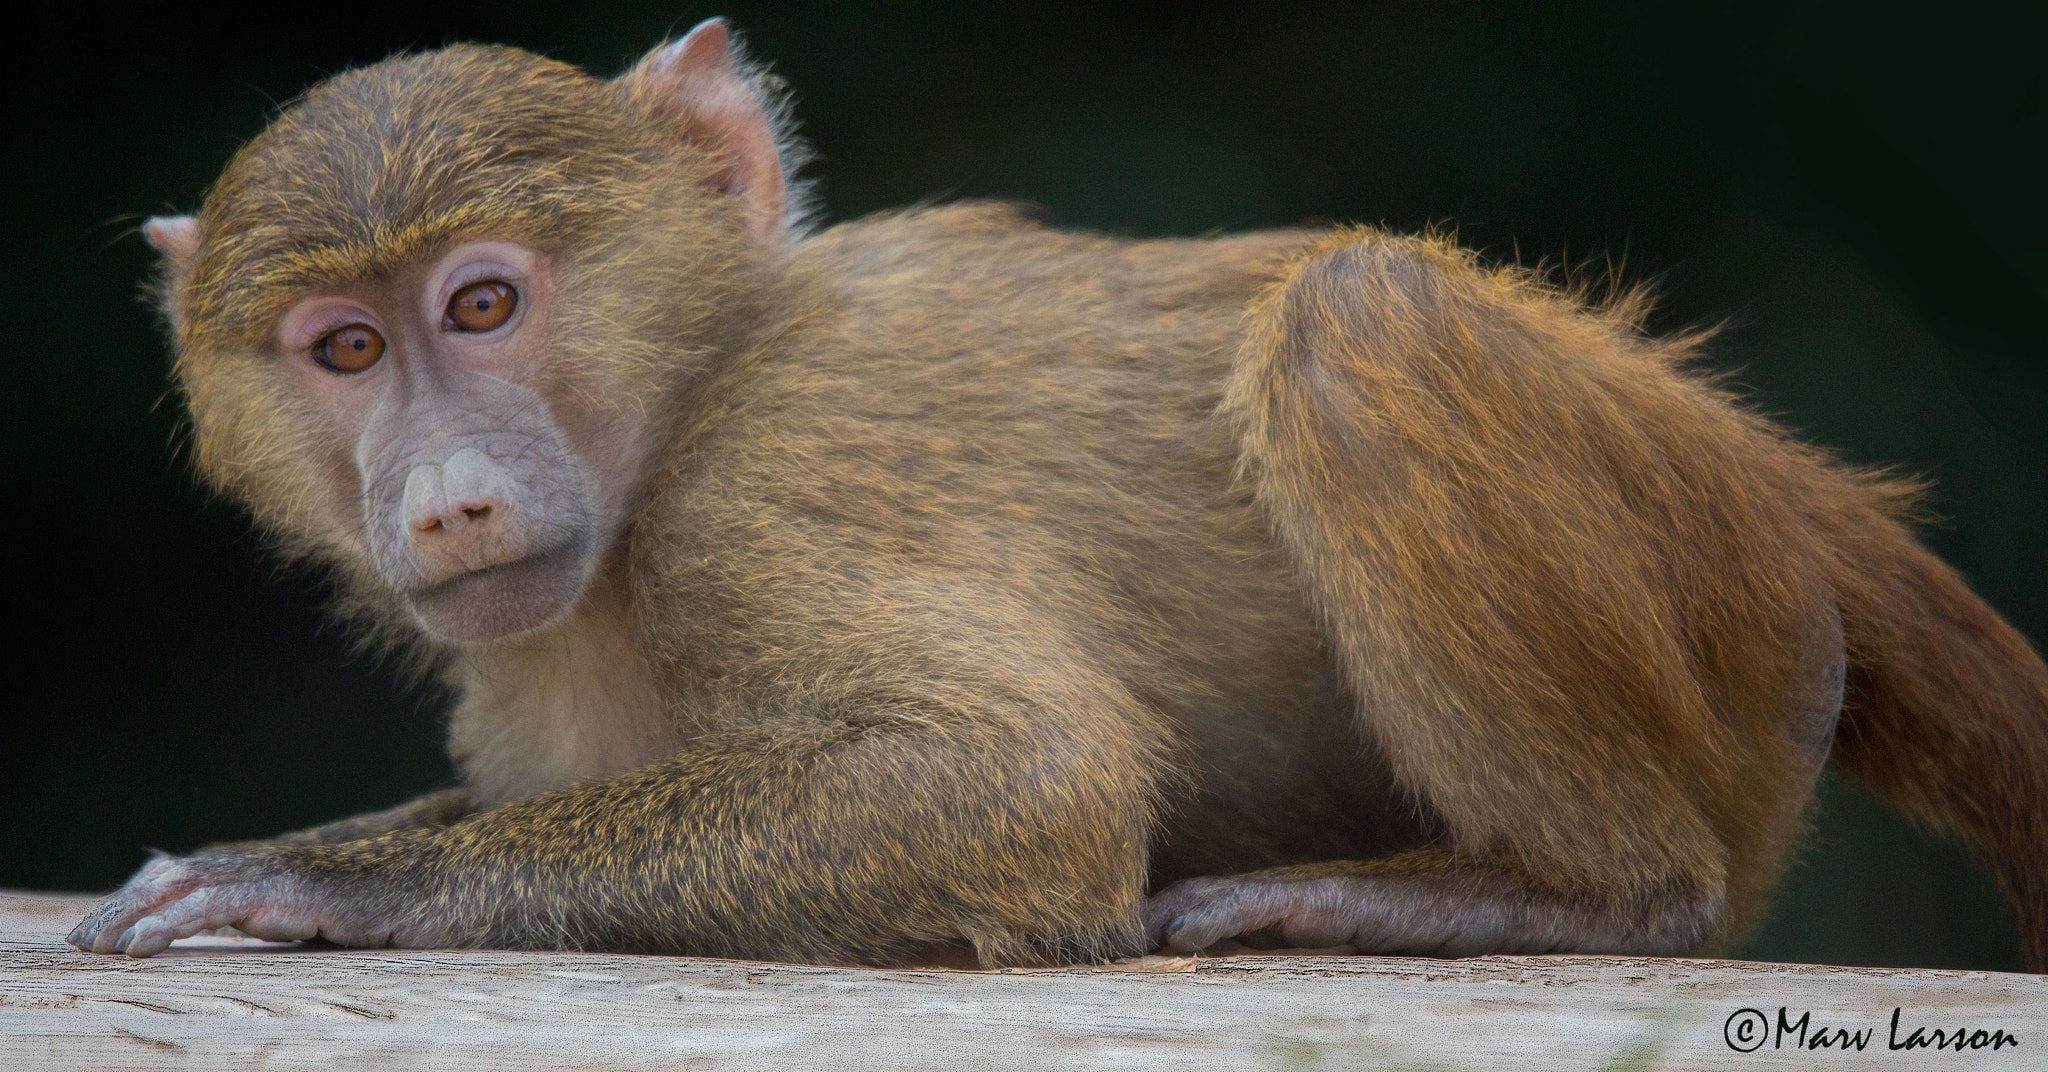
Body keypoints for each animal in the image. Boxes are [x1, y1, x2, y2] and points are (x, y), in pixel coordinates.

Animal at [68, 18, 2048, 972]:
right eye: (346, 350)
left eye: (481, 308)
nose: (452, 501)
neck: (680, 411)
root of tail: (1781, 486)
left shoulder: (756, 502)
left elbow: (1023, 776)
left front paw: (339, 878)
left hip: (1724, 626)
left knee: (1357, 316)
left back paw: (1582, 898)